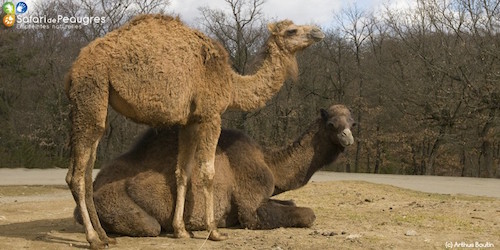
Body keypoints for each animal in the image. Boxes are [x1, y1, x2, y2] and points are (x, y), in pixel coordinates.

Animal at [65, 14, 324, 249]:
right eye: (292, 30)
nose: (318, 32)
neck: (231, 83)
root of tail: (75, 66)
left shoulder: (189, 121)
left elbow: (183, 172)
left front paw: (181, 230)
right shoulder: (211, 114)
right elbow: (207, 172)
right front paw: (214, 231)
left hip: (94, 104)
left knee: (86, 171)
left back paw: (105, 236)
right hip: (91, 92)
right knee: (75, 175)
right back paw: (93, 239)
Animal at [73, 104, 356, 236]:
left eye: (353, 122)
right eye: (331, 124)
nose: (348, 138)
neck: (268, 162)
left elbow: (293, 202)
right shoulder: (251, 207)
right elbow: (307, 214)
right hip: (117, 205)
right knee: (149, 225)